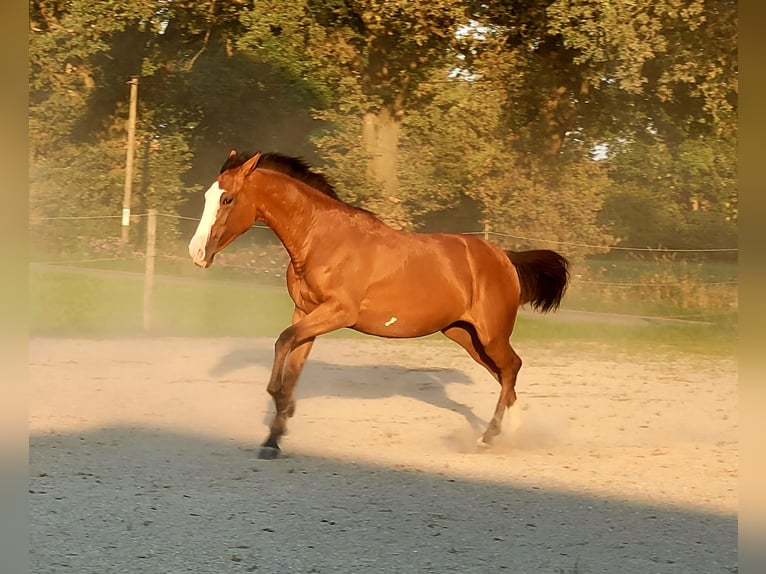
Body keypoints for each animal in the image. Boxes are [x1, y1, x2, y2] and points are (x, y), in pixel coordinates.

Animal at [188, 151, 568, 462]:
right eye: (207, 196)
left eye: (227, 198)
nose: (196, 253)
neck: (322, 238)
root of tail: (505, 257)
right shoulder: (305, 313)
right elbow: (293, 362)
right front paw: (273, 439)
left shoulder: (338, 313)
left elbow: (283, 343)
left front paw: (283, 406)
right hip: (465, 335)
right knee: (505, 374)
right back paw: (510, 435)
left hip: (490, 335)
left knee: (512, 367)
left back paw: (489, 438)